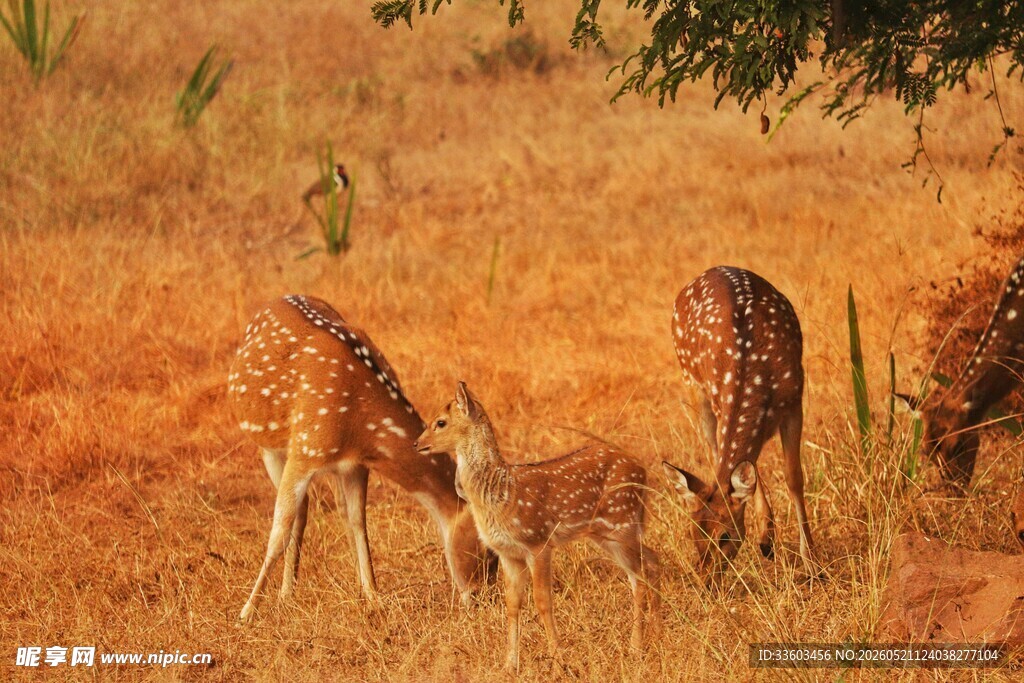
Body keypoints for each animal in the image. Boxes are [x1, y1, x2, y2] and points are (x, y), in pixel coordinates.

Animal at [229, 295, 491, 623]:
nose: (483, 599)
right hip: (271, 448)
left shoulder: (356, 464)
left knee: (324, 510)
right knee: (299, 512)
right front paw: (247, 611)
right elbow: (278, 532)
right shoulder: (304, 450)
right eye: (488, 548)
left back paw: (292, 591)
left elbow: (358, 522)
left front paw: (373, 597)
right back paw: (284, 593)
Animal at [415, 382, 660, 669]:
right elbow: (512, 604)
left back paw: (636, 647)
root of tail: (643, 470)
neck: (500, 492)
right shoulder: (508, 553)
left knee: (639, 577)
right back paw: (656, 632)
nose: (417, 443)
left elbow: (543, 602)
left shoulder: (538, 542)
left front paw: (558, 660)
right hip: (608, 534)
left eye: (440, 422)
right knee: (651, 562)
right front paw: (510, 664)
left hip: (622, 522)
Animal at [662, 266, 815, 578]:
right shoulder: (721, 403)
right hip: (695, 386)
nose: (705, 579)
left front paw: (813, 564)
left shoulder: (794, 401)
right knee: (716, 453)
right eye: (693, 534)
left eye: (725, 535)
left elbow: (794, 477)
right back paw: (766, 538)